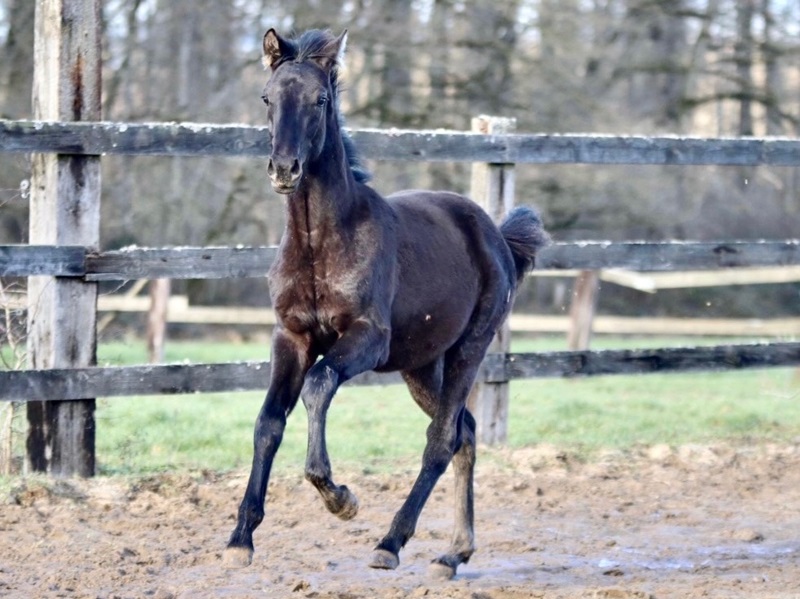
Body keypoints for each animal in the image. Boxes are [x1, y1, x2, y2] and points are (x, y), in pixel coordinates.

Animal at [223, 28, 550, 579]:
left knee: (441, 439)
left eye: (321, 100)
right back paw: (454, 552)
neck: (321, 243)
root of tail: (499, 237)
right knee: (464, 431)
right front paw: (240, 539)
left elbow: (319, 385)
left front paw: (340, 498)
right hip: (421, 365)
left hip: (469, 349)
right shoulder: (291, 336)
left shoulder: (367, 339)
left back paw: (391, 543)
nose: (284, 169)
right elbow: (268, 422)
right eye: (268, 98)